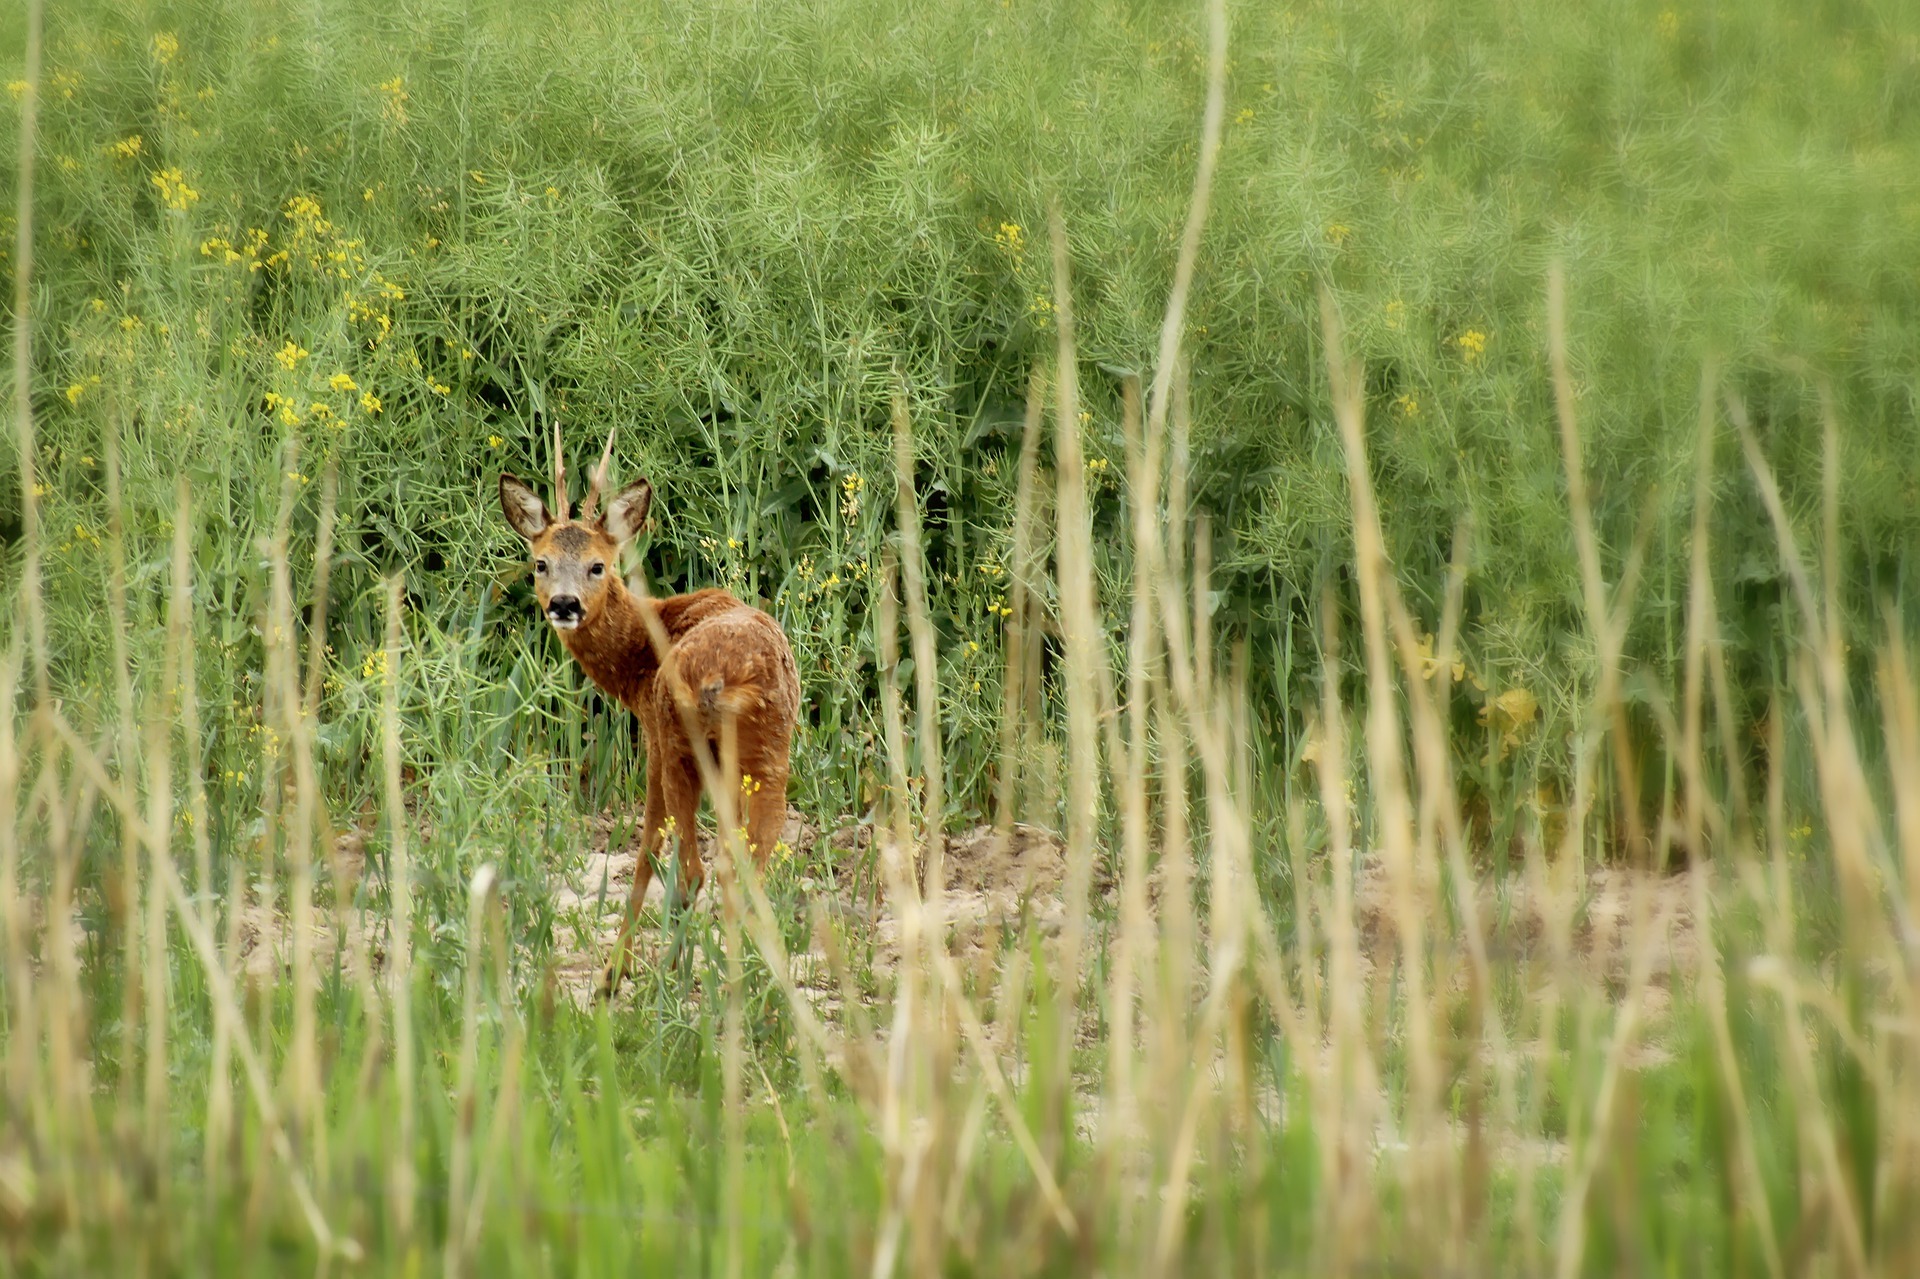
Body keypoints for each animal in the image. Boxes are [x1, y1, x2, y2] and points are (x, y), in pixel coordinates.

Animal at [499, 422, 798, 990]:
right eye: (540, 563)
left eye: (597, 565)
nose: (564, 605)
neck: (644, 650)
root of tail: (730, 680)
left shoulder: (654, 738)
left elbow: (646, 853)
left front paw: (615, 973)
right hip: (771, 754)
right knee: (749, 864)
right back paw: (750, 980)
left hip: (684, 745)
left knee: (694, 869)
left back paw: (669, 980)